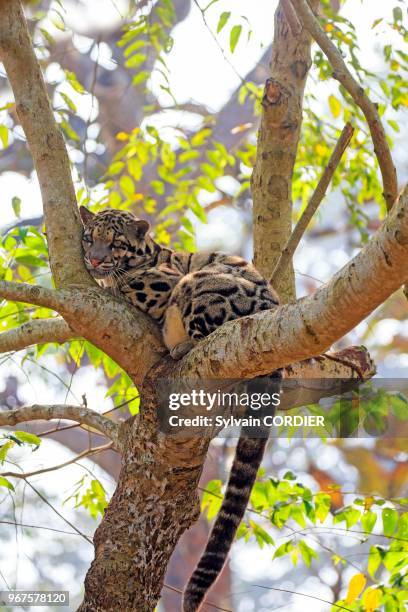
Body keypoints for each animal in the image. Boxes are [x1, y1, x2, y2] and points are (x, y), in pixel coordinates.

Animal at [80, 207, 280, 612]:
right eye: (89, 237)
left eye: (115, 242)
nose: (93, 259)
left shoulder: (162, 282)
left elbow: (126, 285)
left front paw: (113, 281)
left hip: (201, 285)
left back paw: (183, 346)